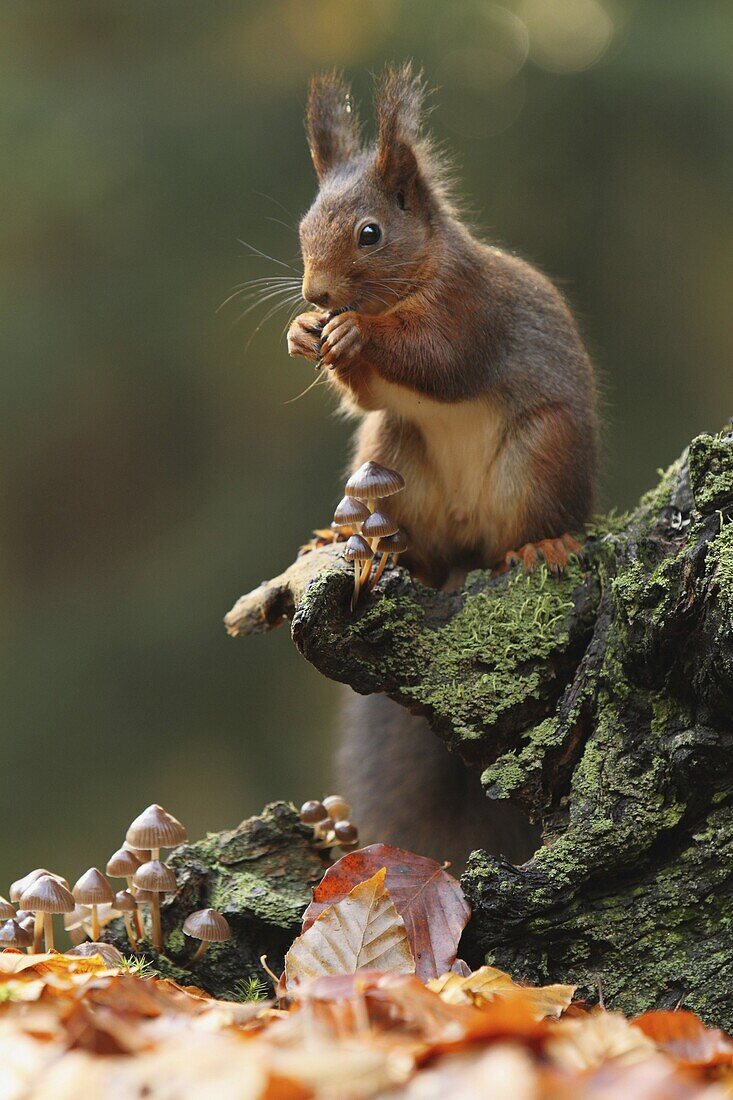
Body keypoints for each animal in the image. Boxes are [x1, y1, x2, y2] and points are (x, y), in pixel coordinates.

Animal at [286, 66, 598, 866]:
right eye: (303, 227)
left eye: (370, 234)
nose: (315, 295)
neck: (416, 277)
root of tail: (463, 547)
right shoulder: (380, 401)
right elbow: (363, 392)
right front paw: (304, 332)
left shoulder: (469, 308)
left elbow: (439, 358)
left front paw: (356, 335)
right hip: (392, 455)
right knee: (412, 549)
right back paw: (357, 546)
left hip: (539, 455)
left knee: (526, 524)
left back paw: (541, 545)